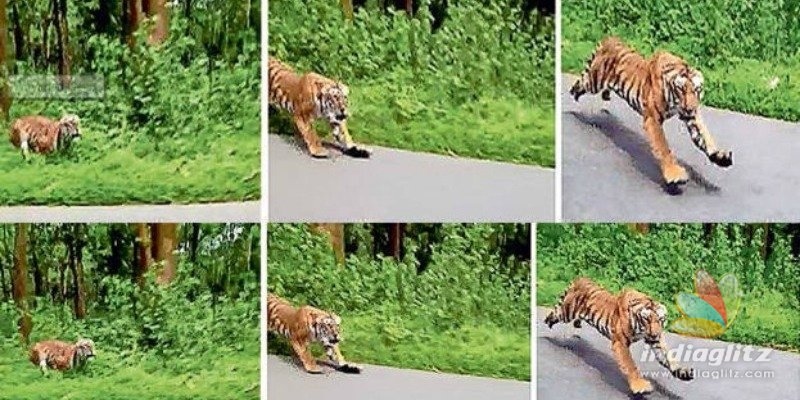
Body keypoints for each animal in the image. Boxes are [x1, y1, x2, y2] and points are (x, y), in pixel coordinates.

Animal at [544, 276, 692, 396]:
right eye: (647, 320)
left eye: (661, 319)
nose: (655, 333)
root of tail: (580, 278)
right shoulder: (620, 343)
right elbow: (630, 364)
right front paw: (641, 386)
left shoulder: (656, 341)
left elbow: (668, 357)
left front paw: (683, 372)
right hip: (566, 312)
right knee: (554, 314)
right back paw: (546, 326)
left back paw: (577, 325)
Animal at [568, 36, 732, 191]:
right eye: (682, 90)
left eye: (697, 90)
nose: (690, 108)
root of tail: (610, 39)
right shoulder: (653, 119)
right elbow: (664, 147)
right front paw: (675, 175)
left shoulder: (691, 117)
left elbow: (705, 137)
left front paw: (720, 157)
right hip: (593, 82)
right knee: (581, 83)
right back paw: (573, 100)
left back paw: (605, 98)